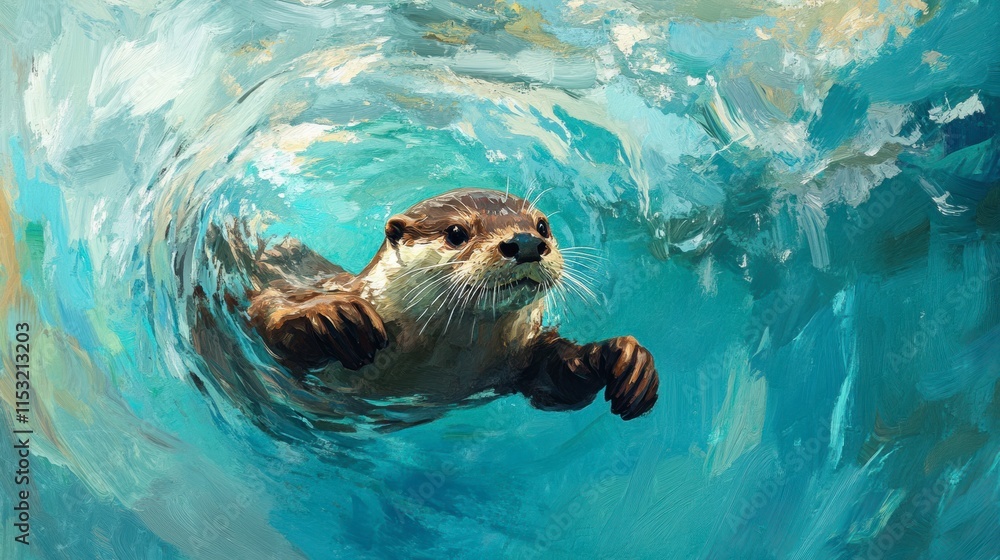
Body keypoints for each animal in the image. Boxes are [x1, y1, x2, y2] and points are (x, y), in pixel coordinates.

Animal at [247, 188, 659, 422]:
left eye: (542, 226)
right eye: (457, 232)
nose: (527, 242)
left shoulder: (518, 361)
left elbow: (554, 385)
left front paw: (620, 358)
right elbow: (268, 318)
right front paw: (334, 315)